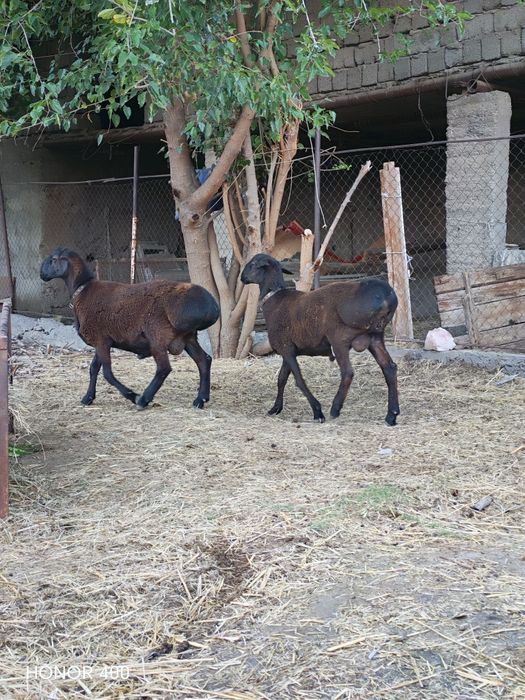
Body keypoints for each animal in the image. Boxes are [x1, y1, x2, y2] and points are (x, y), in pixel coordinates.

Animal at [40, 247, 220, 410]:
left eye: (53, 259)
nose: (41, 274)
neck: (83, 291)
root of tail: (211, 306)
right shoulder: (102, 341)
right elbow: (93, 369)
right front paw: (88, 398)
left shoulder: (101, 341)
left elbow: (107, 374)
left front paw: (132, 396)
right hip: (188, 338)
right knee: (204, 360)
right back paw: (201, 399)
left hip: (158, 337)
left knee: (164, 369)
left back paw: (143, 400)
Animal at [241, 253, 400, 425]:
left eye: (253, 264)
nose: (242, 277)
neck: (274, 299)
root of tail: (387, 297)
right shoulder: (288, 350)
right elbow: (281, 378)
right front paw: (275, 408)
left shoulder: (286, 348)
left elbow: (299, 380)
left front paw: (317, 411)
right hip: (375, 338)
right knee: (390, 368)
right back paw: (392, 415)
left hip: (339, 339)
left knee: (348, 372)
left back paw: (335, 409)